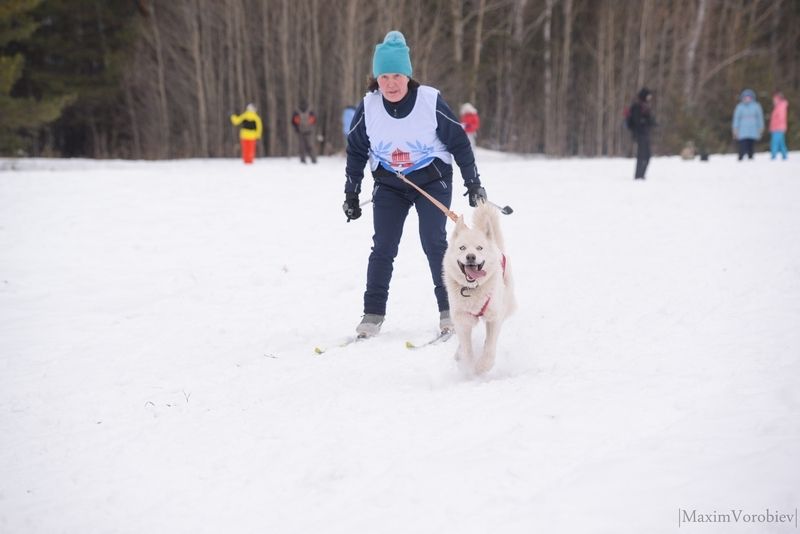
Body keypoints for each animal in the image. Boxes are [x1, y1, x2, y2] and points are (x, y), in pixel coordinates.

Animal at [440, 203, 516, 374]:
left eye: (479, 248)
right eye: (462, 248)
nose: (470, 257)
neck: (472, 289)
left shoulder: (494, 318)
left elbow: (489, 347)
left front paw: (481, 367)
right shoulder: (462, 319)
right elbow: (467, 348)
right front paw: (468, 367)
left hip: (506, 305)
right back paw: (458, 354)